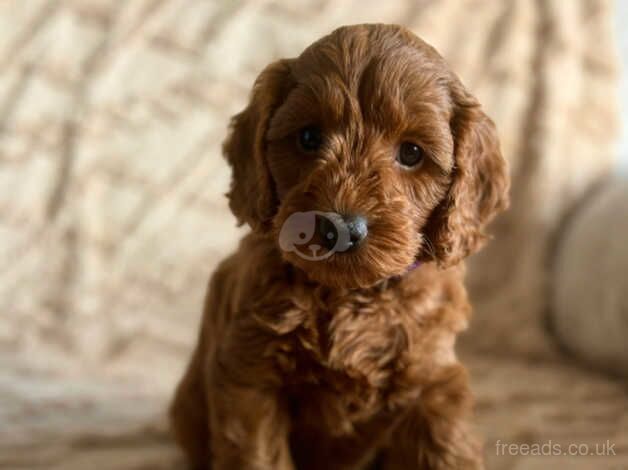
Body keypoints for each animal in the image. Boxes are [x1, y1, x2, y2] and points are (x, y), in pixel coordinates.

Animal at [170, 23, 510, 468]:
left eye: (411, 152)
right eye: (308, 137)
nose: (340, 228)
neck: (350, 294)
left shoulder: (432, 378)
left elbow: (446, 445)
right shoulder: (251, 375)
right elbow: (258, 455)